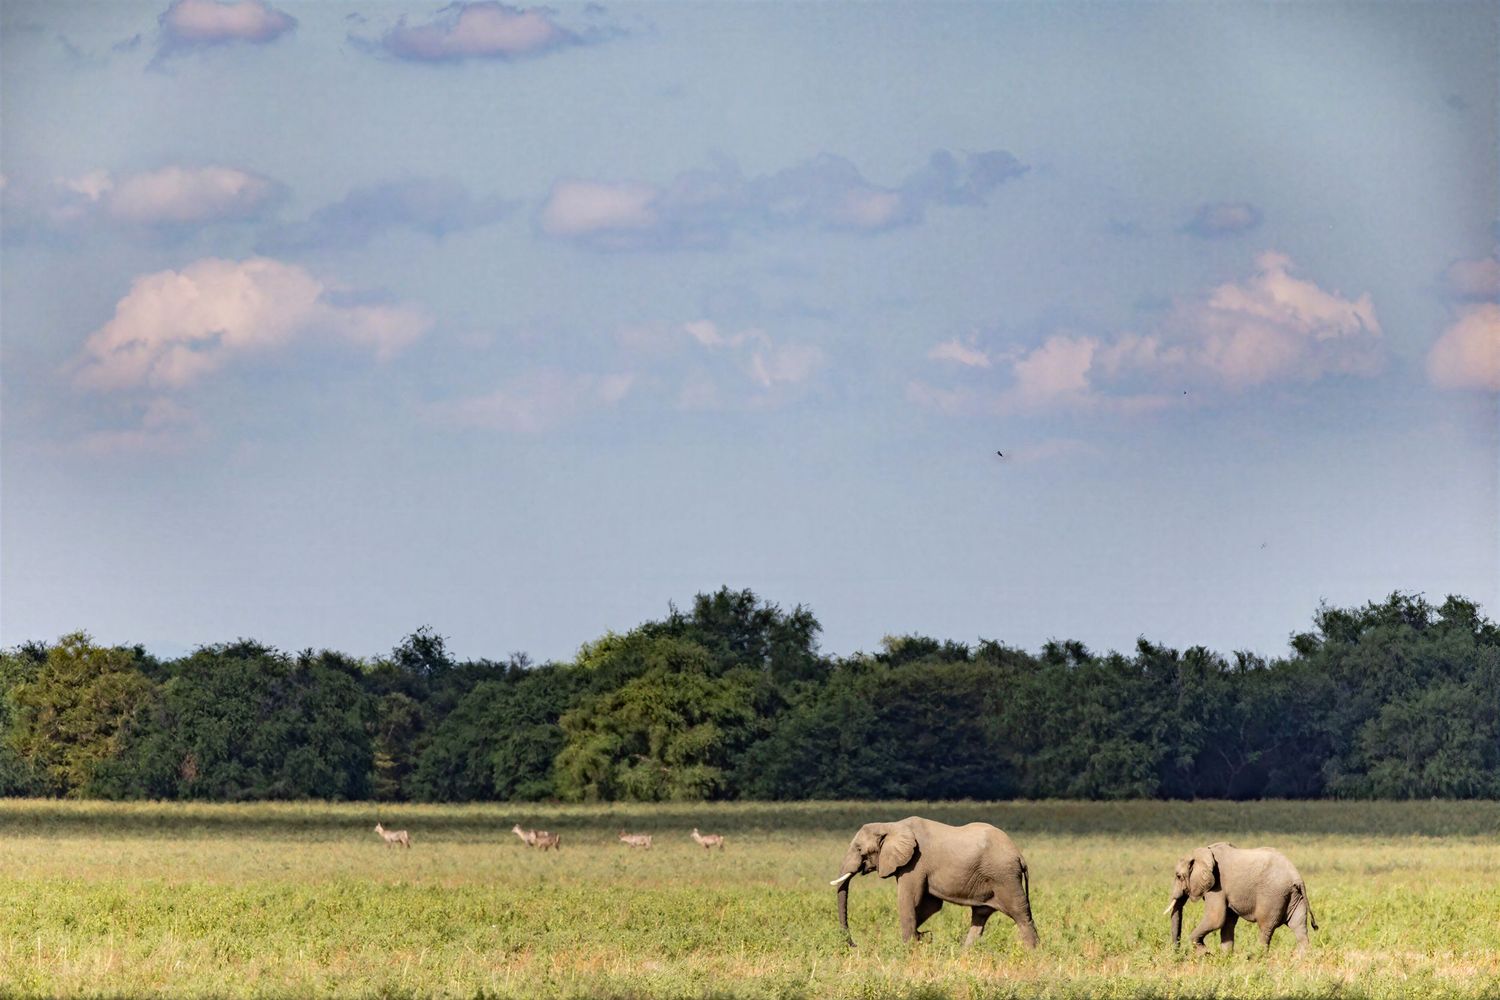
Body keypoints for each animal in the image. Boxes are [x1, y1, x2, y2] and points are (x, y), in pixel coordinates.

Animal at [830, 816, 1039, 951]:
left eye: (859, 849)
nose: (854, 945)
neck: (892, 826)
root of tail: (1019, 855)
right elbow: (931, 905)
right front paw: (923, 937)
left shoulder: (914, 864)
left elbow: (908, 900)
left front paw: (909, 947)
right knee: (980, 915)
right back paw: (966, 954)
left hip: (1004, 877)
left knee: (1021, 914)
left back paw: (1032, 953)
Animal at [1165, 842, 1318, 955]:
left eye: (1178, 876)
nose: (1177, 953)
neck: (1203, 852)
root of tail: (1297, 877)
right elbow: (1227, 921)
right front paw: (1225, 957)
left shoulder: (1217, 886)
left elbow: (1216, 918)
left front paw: (1205, 953)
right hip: (1294, 896)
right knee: (1299, 926)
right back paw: (1300, 959)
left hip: (1274, 895)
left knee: (1266, 927)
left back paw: (1257, 958)